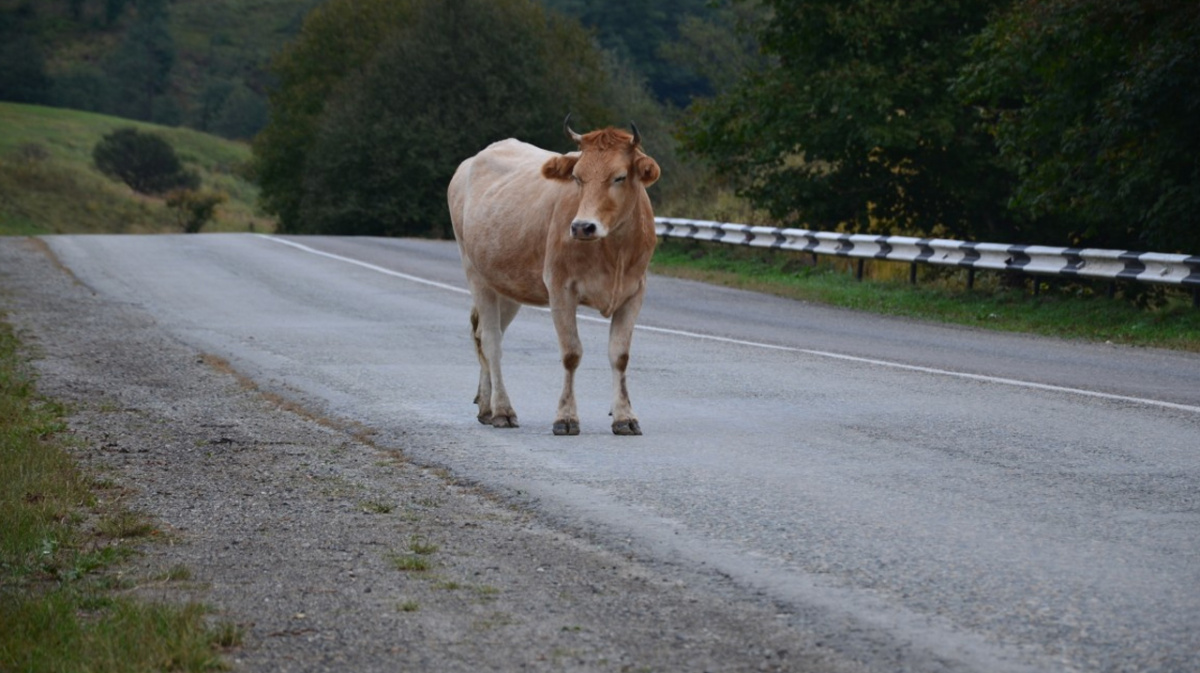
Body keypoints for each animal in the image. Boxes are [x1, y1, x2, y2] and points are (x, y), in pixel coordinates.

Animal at [448, 119, 662, 436]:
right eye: (577, 177)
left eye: (620, 177)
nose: (583, 226)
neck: (614, 251)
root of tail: (472, 160)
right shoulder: (560, 288)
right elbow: (571, 353)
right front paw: (566, 418)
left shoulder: (635, 292)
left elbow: (620, 356)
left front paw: (624, 416)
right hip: (475, 272)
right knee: (491, 341)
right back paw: (502, 410)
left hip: (508, 284)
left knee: (485, 335)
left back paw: (486, 406)